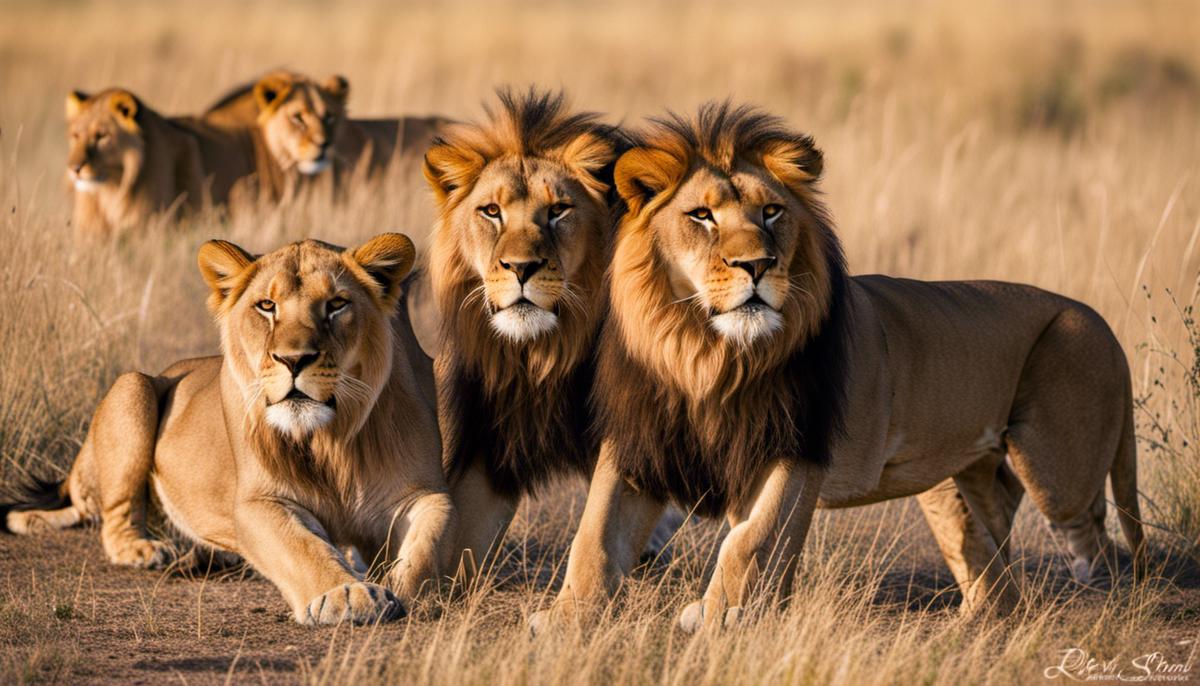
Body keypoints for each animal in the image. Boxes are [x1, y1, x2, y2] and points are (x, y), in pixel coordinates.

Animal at [0, 233, 454, 625]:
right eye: (267, 306)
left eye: (337, 304)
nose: (293, 360)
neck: (330, 440)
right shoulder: (256, 502)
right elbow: (302, 547)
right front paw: (346, 594)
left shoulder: (421, 493)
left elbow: (431, 540)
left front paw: (404, 590)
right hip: (132, 386)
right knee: (107, 517)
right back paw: (136, 547)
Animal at [422, 89, 684, 584]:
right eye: (491, 211)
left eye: (558, 210)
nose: (521, 268)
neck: (544, 352)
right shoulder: (493, 437)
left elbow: (597, 529)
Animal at [531, 103, 1146, 633]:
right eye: (701, 216)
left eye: (771, 212)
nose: (757, 264)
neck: (704, 353)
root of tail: (1097, 319)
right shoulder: (639, 443)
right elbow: (594, 536)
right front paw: (564, 621)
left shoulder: (797, 447)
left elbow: (752, 540)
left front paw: (719, 616)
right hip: (957, 477)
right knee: (993, 540)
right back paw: (974, 622)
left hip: (1058, 472)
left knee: (1098, 538)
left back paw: (1112, 606)